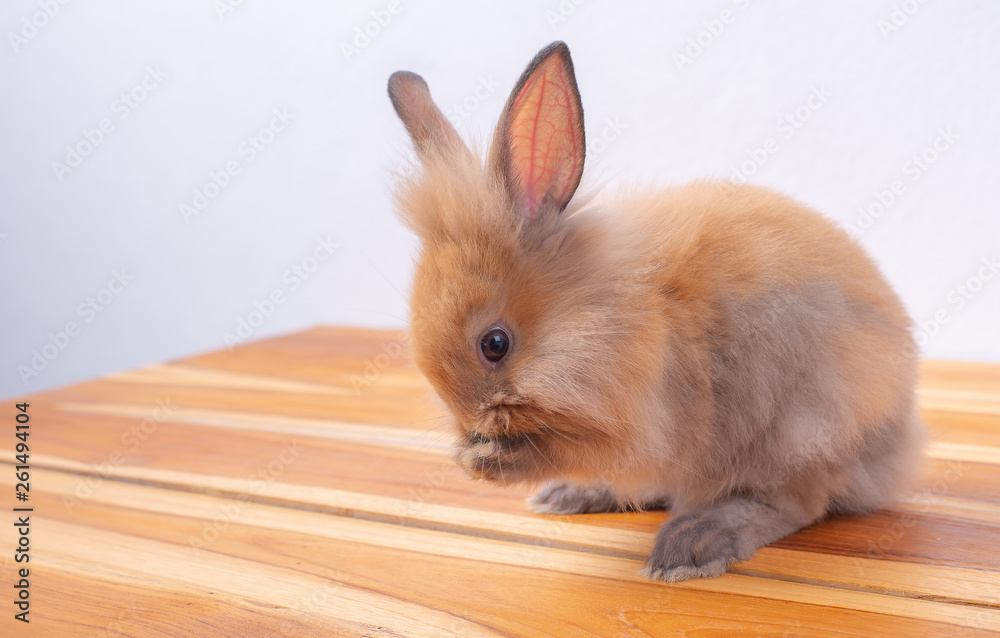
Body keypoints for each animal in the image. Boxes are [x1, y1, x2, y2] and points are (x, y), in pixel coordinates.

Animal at [386, 41, 925, 582]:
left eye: (495, 344)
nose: (469, 426)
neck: (609, 309)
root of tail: (896, 448)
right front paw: (469, 455)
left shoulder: (641, 423)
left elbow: (572, 450)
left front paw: (483, 460)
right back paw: (572, 496)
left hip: (801, 435)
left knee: (792, 503)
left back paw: (692, 545)